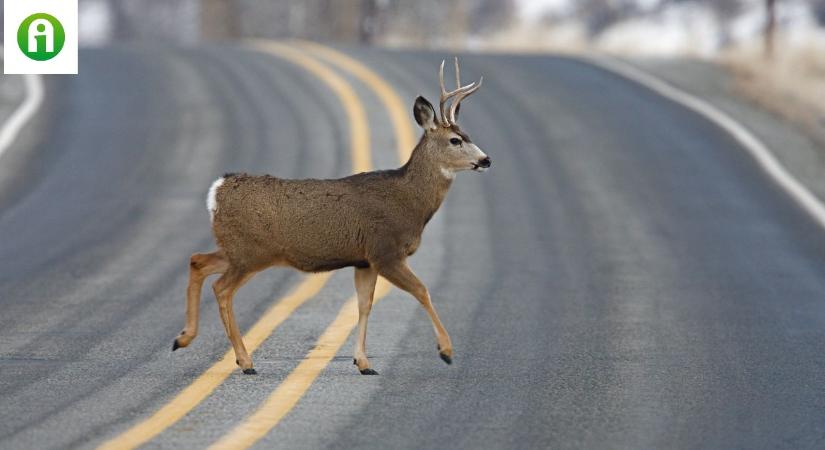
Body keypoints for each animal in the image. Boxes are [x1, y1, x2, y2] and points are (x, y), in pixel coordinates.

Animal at [169, 59, 490, 376]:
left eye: (468, 137)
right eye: (455, 140)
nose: (486, 160)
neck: (410, 202)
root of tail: (217, 190)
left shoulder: (364, 260)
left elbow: (364, 304)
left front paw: (363, 362)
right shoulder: (385, 251)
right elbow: (422, 291)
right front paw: (446, 350)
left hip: (237, 249)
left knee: (198, 261)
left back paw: (183, 338)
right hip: (250, 252)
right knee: (221, 289)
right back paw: (245, 361)